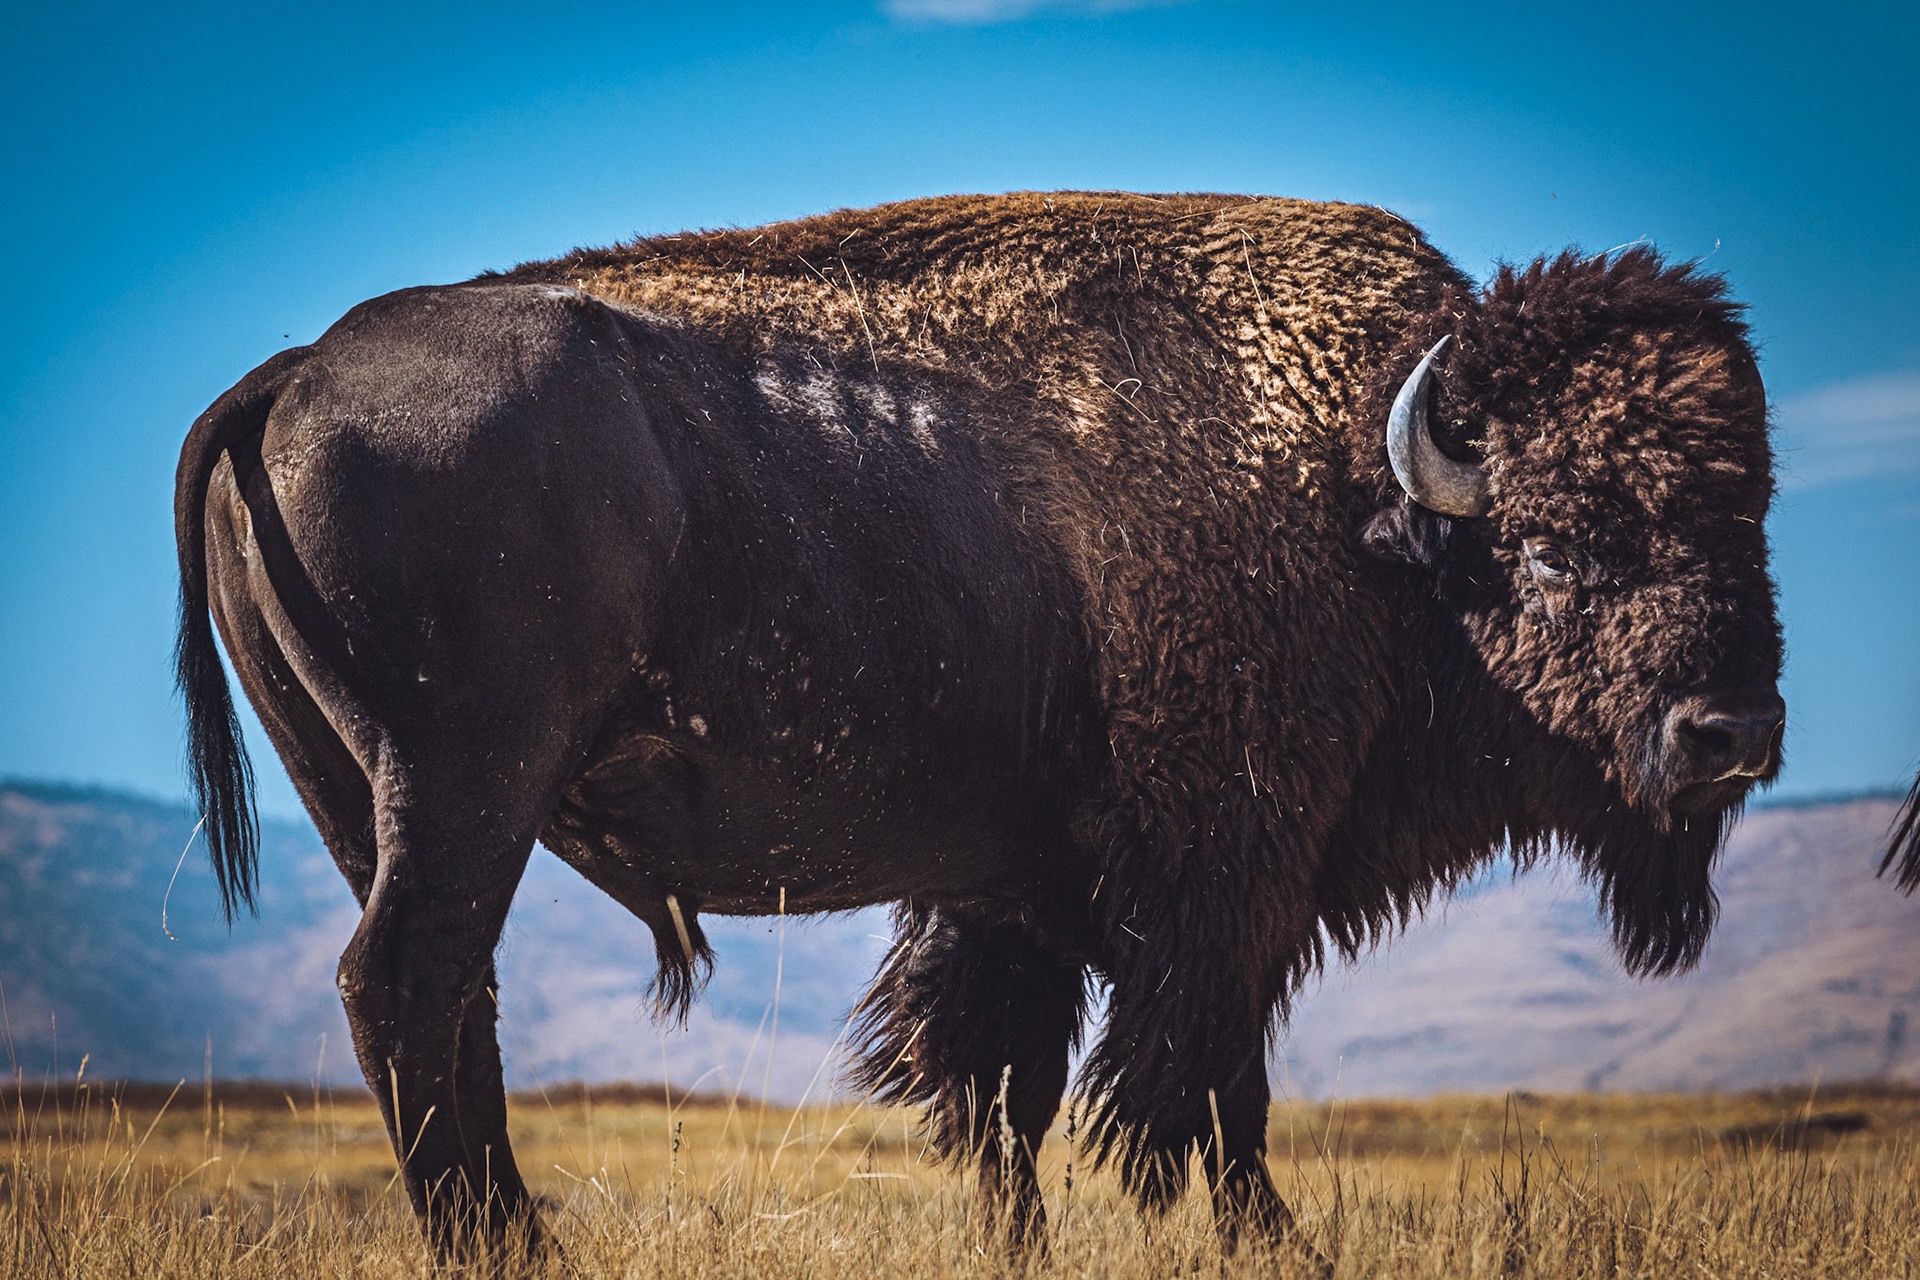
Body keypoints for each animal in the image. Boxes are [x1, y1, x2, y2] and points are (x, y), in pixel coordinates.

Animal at [175, 192, 1784, 1258]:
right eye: (1557, 546)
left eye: (1752, 519)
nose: (1735, 732)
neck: (1351, 484)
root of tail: (287, 375)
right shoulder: (1223, 871)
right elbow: (1208, 1085)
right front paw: (1274, 1246)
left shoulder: (1021, 889)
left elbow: (1007, 1090)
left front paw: (1028, 1248)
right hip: (466, 788)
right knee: (405, 984)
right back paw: (502, 1244)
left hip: (365, 800)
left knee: (453, 1001)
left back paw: (519, 1237)